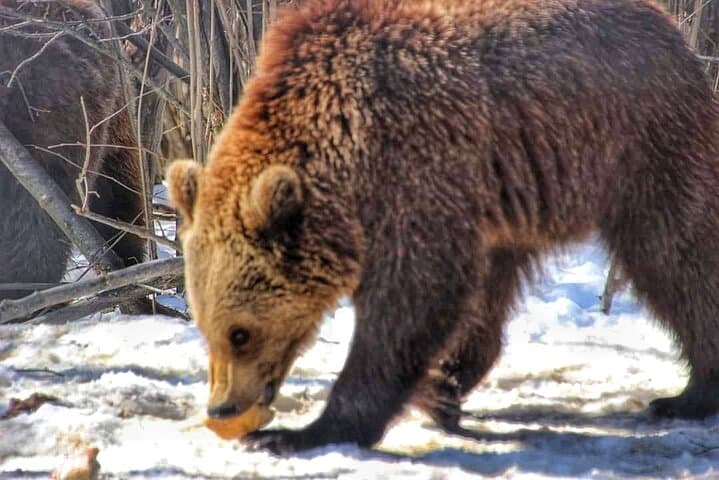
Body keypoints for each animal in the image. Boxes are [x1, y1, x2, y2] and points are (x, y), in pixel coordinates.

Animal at [167, 0, 719, 454]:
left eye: (240, 333)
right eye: (205, 327)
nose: (223, 406)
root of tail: (670, 30)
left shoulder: (413, 168)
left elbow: (410, 300)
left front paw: (303, 431)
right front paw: (432, 391)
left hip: (635, 148)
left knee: (676, 256)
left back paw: (689, 394)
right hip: (518, 189)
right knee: (496, 286)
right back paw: (449, 384)